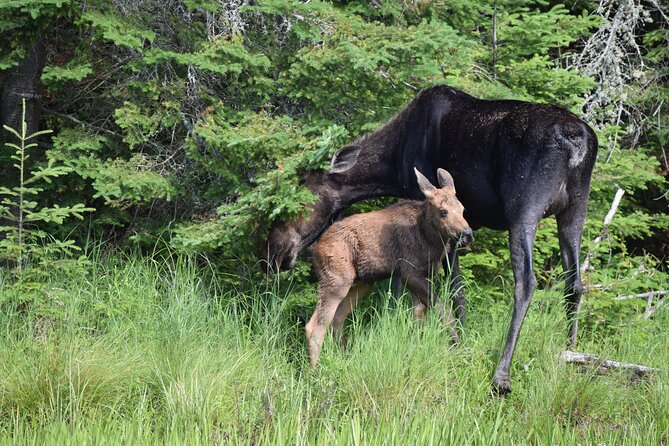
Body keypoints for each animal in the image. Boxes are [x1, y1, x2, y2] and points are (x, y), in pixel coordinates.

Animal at [305, 167, 473, 367]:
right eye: (443, 211)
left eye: (463, 209)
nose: (467, 234)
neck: (432, 241)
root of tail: (314, 250)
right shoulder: (409, 272)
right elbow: (443, 310)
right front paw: (457, 345)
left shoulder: (424, 275)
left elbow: (419, 316)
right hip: (336, 280)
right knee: (314, 326)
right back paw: (315, 370)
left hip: (360, 283)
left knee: (337, 319)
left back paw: (345, 359)